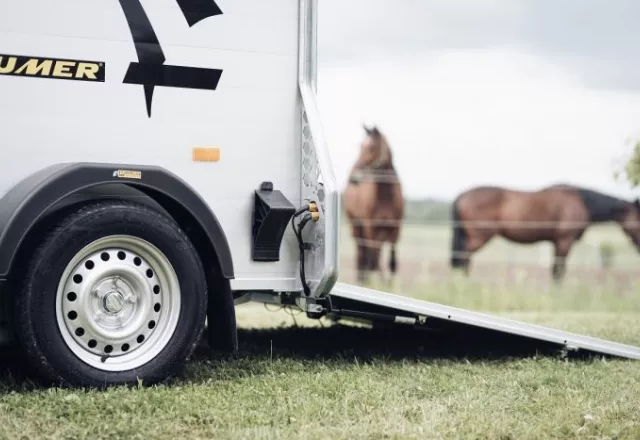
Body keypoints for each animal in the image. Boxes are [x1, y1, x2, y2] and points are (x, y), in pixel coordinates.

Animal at [342, 124, 402, 282]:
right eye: (360, 146)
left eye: (371, 147)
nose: (353, 178)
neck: (385, 197)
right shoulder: (370, 225)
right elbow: (372, 255)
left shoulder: (395, 227)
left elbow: (392, 259)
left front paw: (389, 282)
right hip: (356, 224)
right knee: (362, 249)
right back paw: (362, 276)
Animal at [452, 183, 640, 282]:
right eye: (638, 219)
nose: (639, 246)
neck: (579, 202)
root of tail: (461, 195)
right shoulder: (564, 241)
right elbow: (559, 270)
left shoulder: (557, 243)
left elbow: (555, 269)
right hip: (479, 237)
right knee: (464, 257)